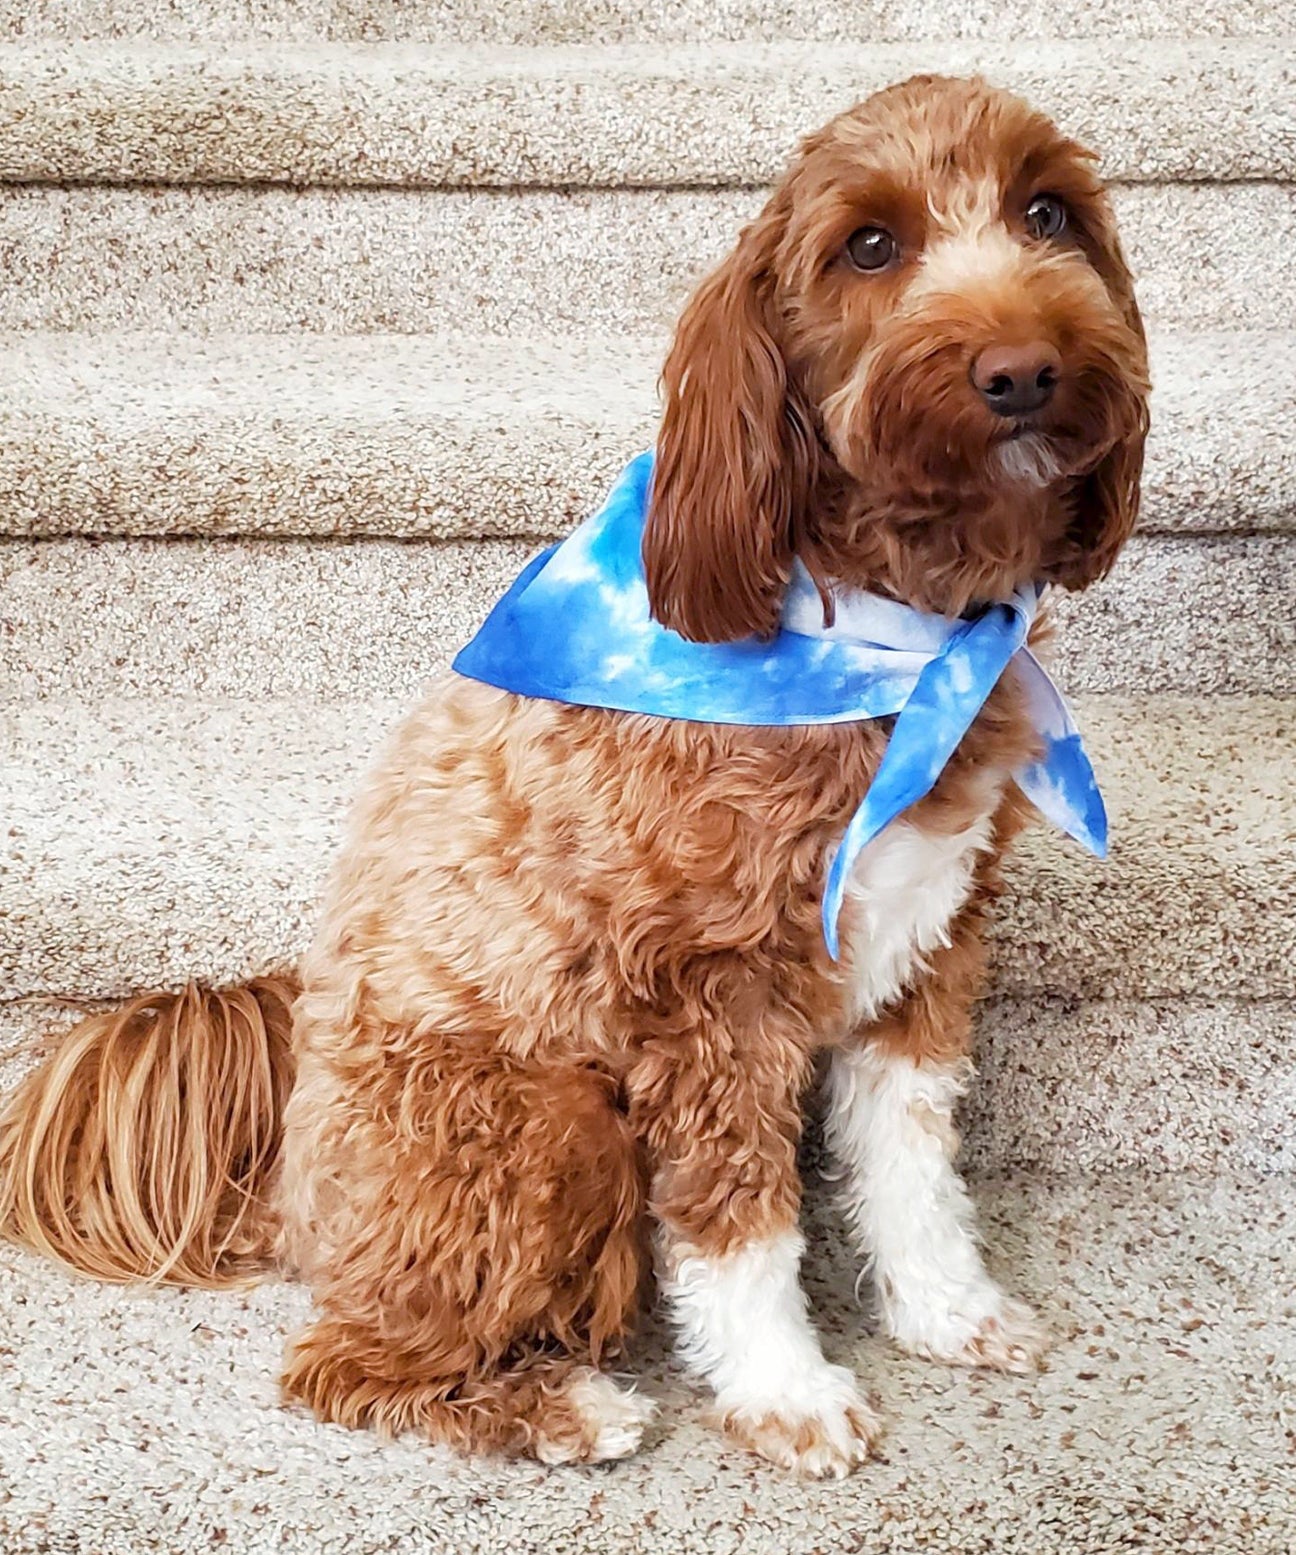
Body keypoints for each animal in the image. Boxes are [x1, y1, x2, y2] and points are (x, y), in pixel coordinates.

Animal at [5, 75, 1145, 1480]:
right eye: (870, 246)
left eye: (1048, 214)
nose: (1025, 370)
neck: (898, 628)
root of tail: (290, 1187)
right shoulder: (707, 996)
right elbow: (737, 1224)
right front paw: (787, 1391)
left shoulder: (926, 950)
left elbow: (912, 1164)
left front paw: (945, 1309)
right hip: (545, 1121)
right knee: (343, 1362)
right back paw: (558, 1405)